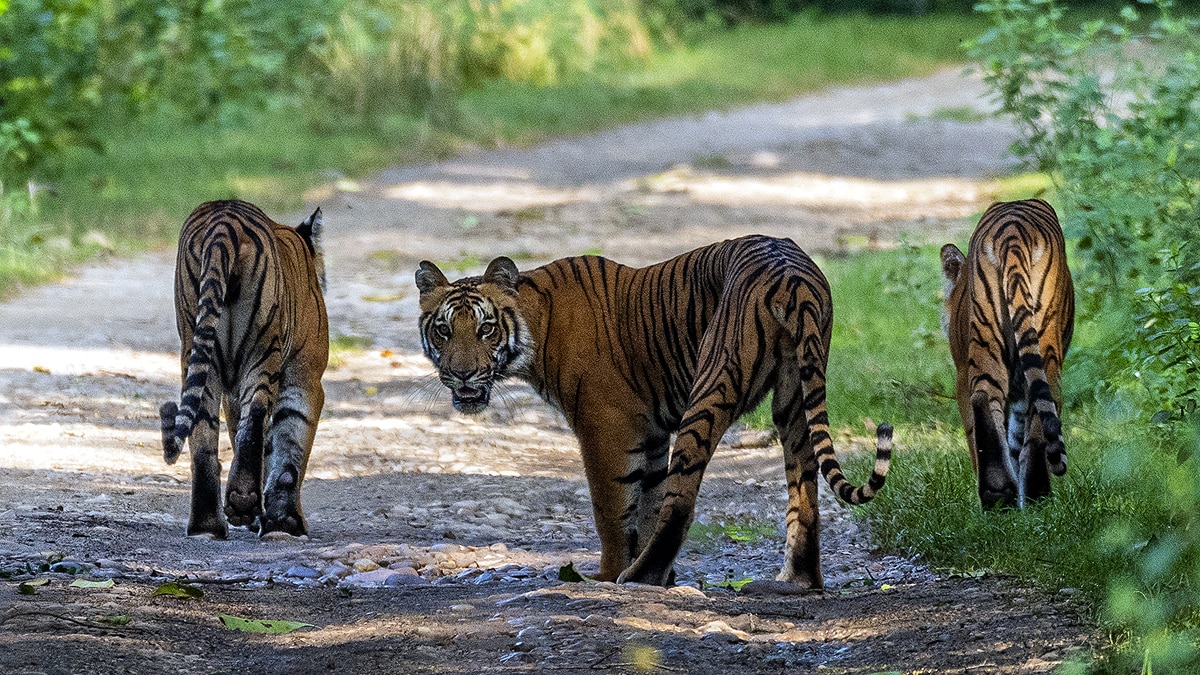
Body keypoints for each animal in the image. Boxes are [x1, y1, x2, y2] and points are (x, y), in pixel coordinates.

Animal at [159, 199, 329, 538]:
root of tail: (223, 225)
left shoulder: (232, 390)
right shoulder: (306, 377)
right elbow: (290, 443)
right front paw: (286, 521)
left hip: (199, 349)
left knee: (204, 432)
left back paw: (207, 525)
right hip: (263, 348)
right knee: (257, 414)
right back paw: (242, 503)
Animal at [415, 235, 892, 588]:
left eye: (486, 328)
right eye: (443, 330)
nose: (462, 374)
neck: (537, 324)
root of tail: (791, 273)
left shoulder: (607, 426)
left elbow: (612, 509)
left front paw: (608, 574)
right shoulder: (652, 431)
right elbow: (646, 504)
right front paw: (661, 577)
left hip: (712, 381)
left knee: (681, 501)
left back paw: (636, 576)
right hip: (797, 392)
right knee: (803, 491)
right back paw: (795, 581)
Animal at [940, 198, 1075, 509]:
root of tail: (1012, 234)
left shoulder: (963, 373)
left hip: (988, 339)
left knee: (984, 398)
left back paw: (1000, 494)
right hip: (1041, 342)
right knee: (1038, 406)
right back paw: (1034, 496)